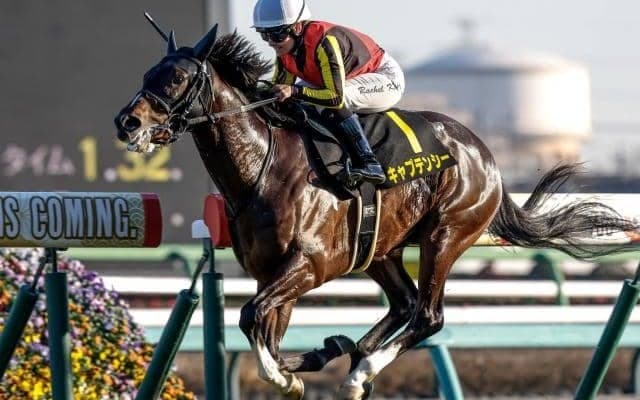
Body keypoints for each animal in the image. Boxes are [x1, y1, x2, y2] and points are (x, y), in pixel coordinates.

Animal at [114, 24, 639, 399]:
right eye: (145, 75)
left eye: (177, 77)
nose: (127, 122)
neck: (264, 166)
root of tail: (485, 155)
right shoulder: (271, 273)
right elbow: (265, 329)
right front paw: (309, 359)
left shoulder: (312, 264)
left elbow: (251, 317)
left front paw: (291, 375)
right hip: (382, 250)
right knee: (404, 303)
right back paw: (351, 353)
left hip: (445, 235)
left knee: (428, 316)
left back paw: (359, 371)